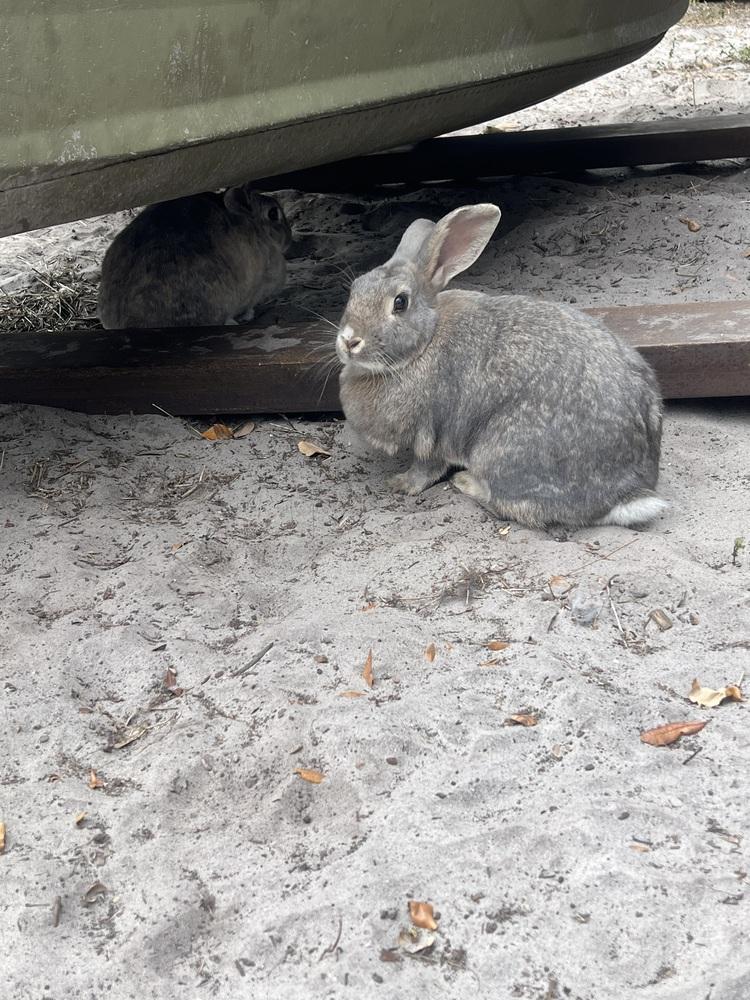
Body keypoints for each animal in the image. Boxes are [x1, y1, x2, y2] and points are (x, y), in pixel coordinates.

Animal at [335, 203, 666, 529]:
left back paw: (466, 481)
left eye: (400, 302)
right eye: (354, 289)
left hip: (499, 451)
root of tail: (623, 494)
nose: (349, 341)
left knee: (513, 505)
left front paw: (400, 483)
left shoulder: (430, 436)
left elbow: (425, 470)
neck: (423, 344)